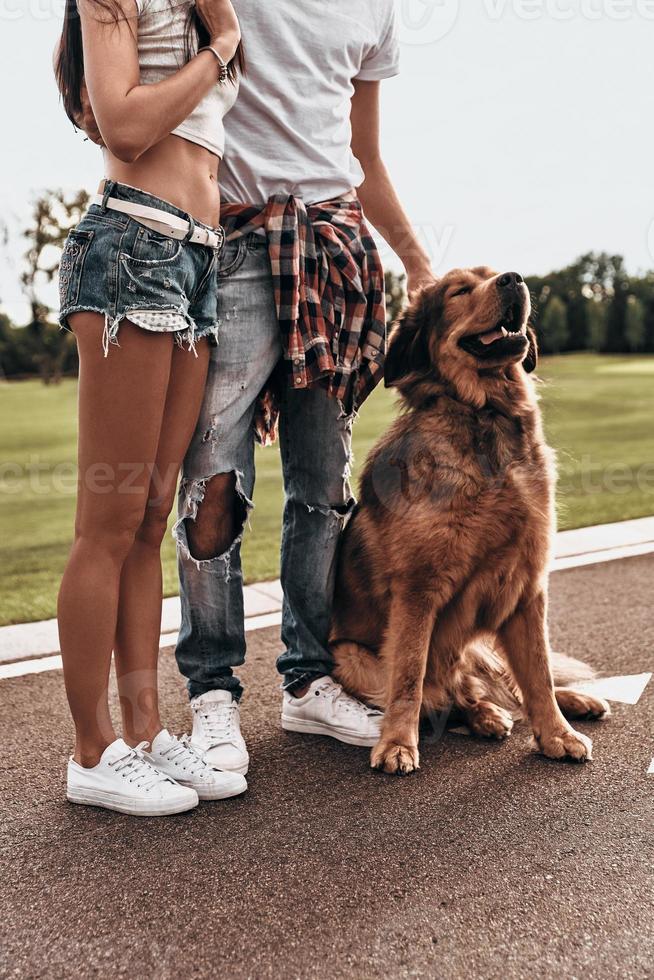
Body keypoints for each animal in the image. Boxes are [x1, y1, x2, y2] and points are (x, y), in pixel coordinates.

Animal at [330, 266, 612, 772]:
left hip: (479, 649)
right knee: (445, 696)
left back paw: (567, 702)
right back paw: (483, 716)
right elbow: (408, 677)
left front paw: (556, 733)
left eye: (494, 272)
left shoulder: (527, 588)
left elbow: (538, 673)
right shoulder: (417, 592)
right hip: (352, 659)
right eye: (460, 290)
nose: (513, 279)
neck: (486, 413)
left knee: (499, 686)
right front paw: (397, 743)